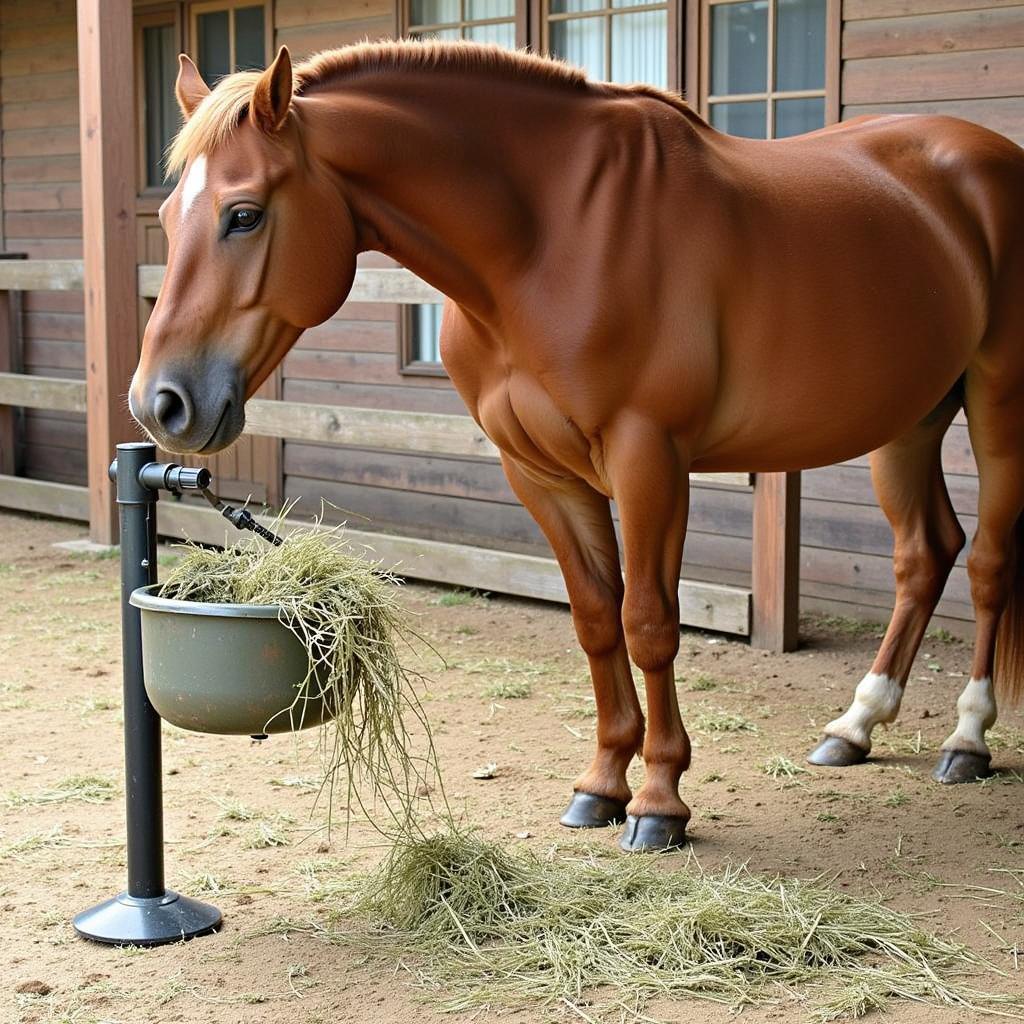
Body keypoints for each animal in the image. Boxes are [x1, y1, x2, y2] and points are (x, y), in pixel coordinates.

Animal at [130, 41, 1024, 847]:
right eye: (170, 218)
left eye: (244, 213)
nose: (160, 403)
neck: (548, 239)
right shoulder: (539, 473)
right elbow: (596, 619)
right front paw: (600, 786)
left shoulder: (648, 457)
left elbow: (649, 622)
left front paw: (660, 801)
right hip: (910, 419)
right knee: (924, 555)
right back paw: (856, 726)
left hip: (995, 405)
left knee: (986, 563)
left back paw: (967, 739)